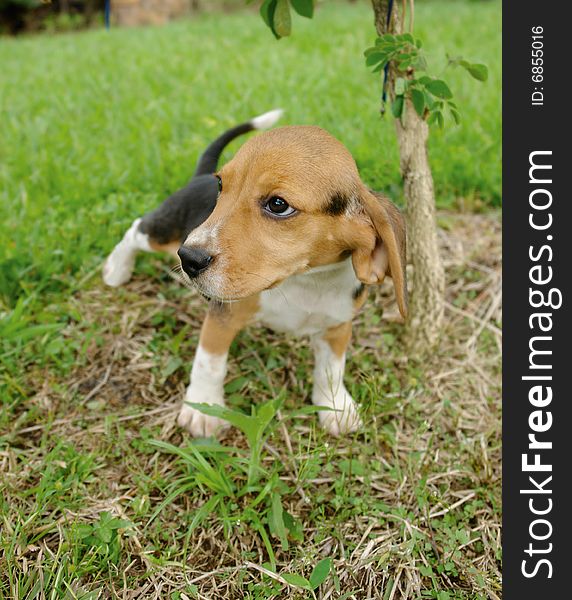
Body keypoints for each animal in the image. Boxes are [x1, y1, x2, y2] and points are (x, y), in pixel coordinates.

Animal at [103, 111, 406, 436]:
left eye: (278, 204)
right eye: (221, 186)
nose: (189, 259)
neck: (305, 280)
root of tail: (200, 176)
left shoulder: (337, 326)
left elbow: (331, 370)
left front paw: (336, 406)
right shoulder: (222, 316)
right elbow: (209, 363)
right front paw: (203, 408)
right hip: (165, 231)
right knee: (135, 230)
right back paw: (117, 269)